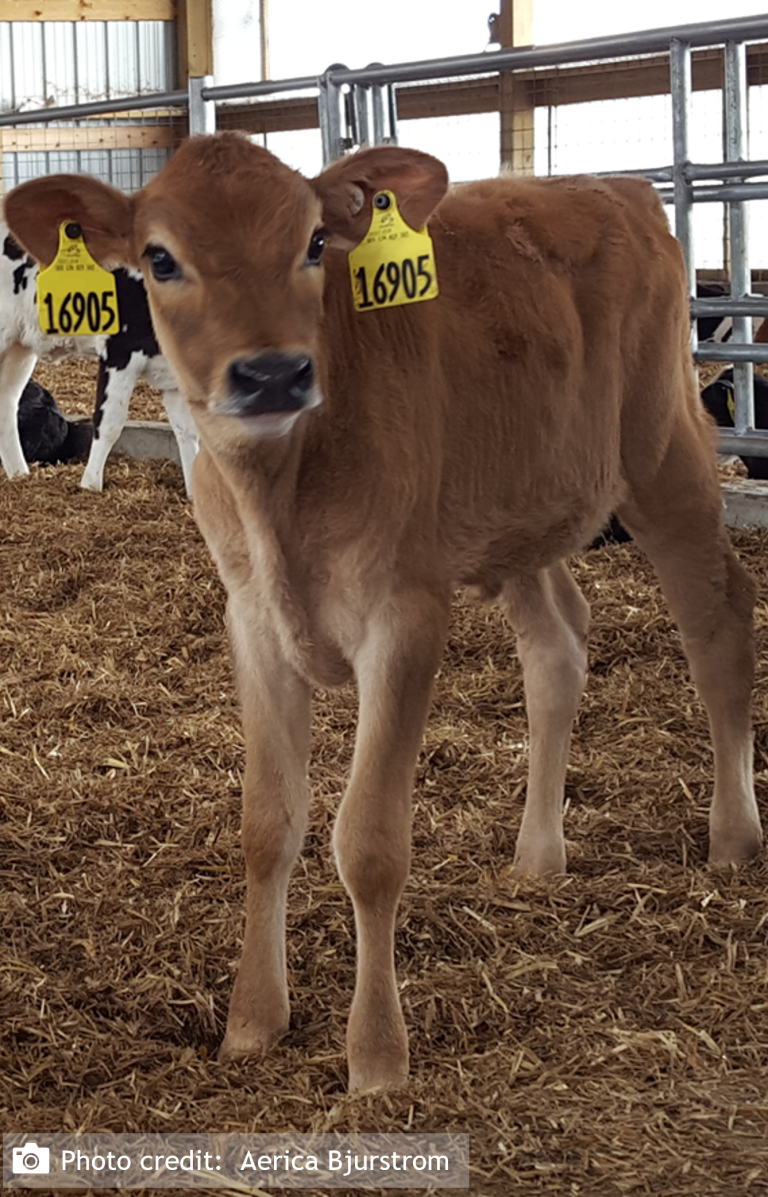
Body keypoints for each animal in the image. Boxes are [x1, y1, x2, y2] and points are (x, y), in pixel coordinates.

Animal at [0, 223, 198, 493]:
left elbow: (188, 433)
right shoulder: (120, 350)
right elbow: (109, 423)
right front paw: (90, 485)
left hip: (18, 345)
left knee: (7, 403)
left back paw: (19, 475)